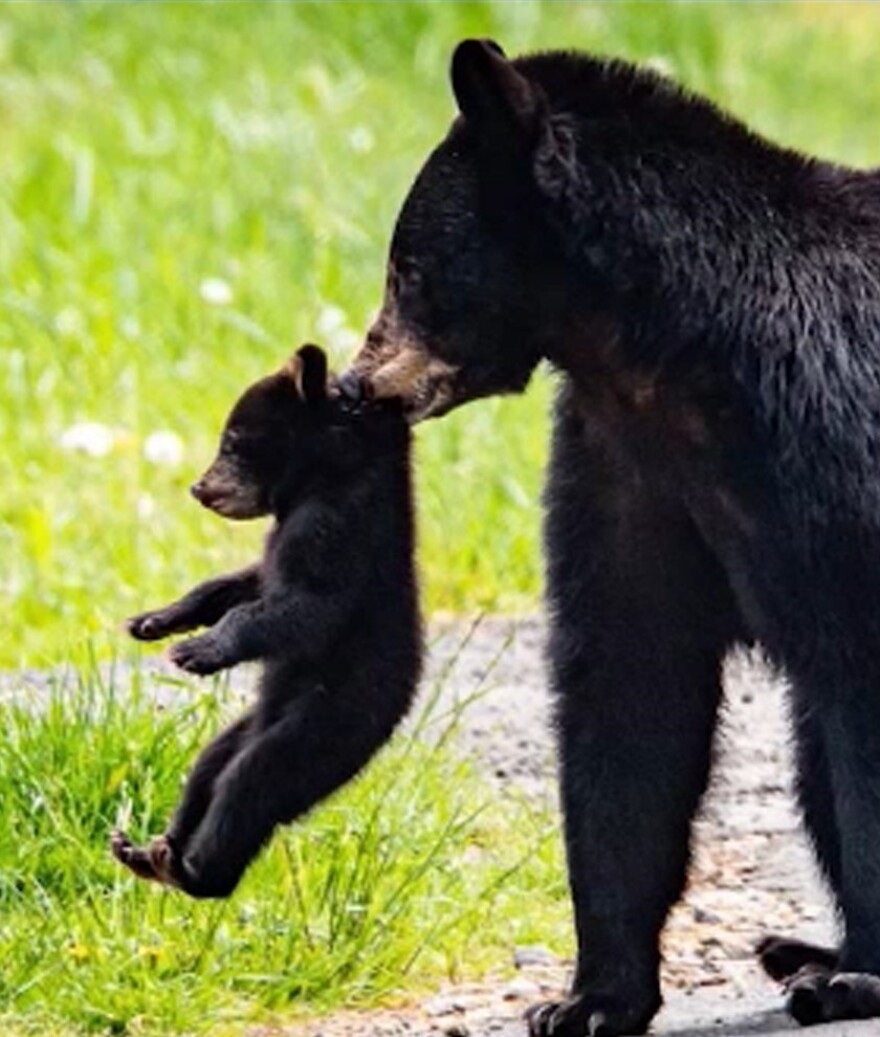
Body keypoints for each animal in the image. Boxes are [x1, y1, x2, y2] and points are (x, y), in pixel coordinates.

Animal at [112, 344, 421, 899]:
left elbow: (307, 608)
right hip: (253, 725)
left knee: (253, 781)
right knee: (211, 765)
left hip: (329, 722)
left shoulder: (336, 532)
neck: (324, 481)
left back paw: (194, 872)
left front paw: (200, 651)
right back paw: (150, 854)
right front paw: (156, 620)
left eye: (233, 442)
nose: (199, 488)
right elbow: (242, 585)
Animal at [345, 39, 880, 1032]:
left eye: (409, 268)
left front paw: (862, 977)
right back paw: (798, 948)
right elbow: (627, 684)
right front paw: (592, 996)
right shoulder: (621, 462)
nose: (358, 385)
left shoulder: (836, 450)